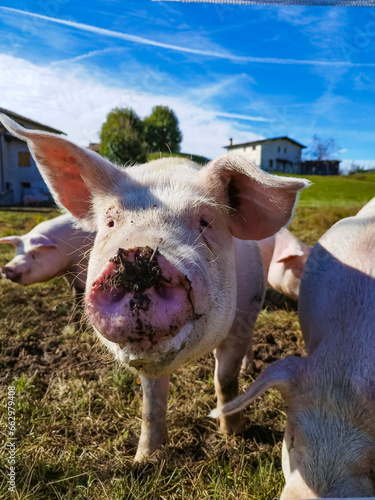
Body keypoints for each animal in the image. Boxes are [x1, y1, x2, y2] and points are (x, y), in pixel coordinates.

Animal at [0, 113, 312, 460]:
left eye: (205, 221)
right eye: (110, 222)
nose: (138, 256)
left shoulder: (243, 316)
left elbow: (225, 379)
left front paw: (233, 434)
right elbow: (152, 401)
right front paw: (144, 458)